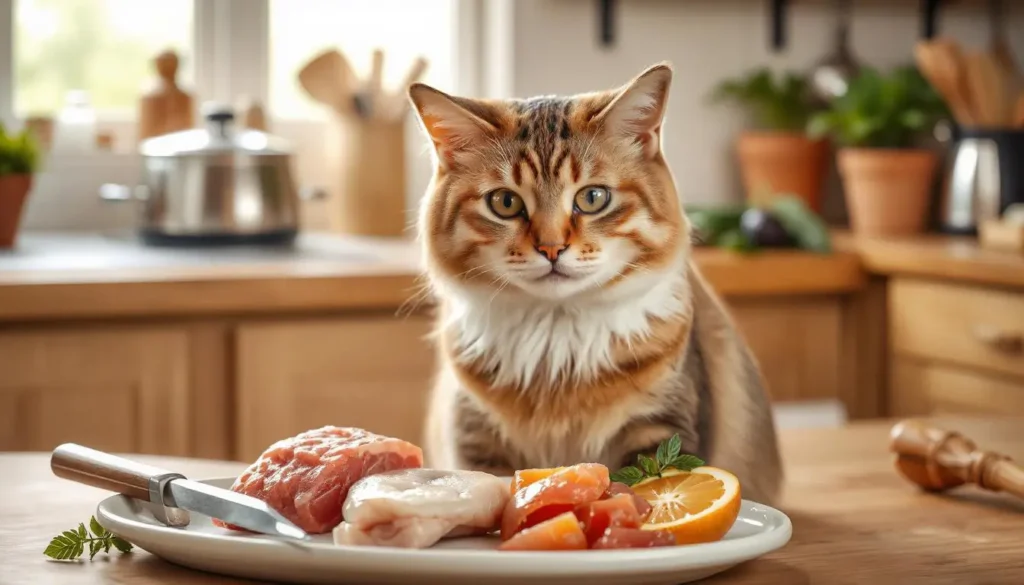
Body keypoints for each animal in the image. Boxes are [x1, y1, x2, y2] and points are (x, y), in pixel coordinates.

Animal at [405, 61, 782, 506]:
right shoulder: (476, 437)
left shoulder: (663, 428)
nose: (551, 248)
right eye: (505, 203)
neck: (557, 353)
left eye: (592, 198)